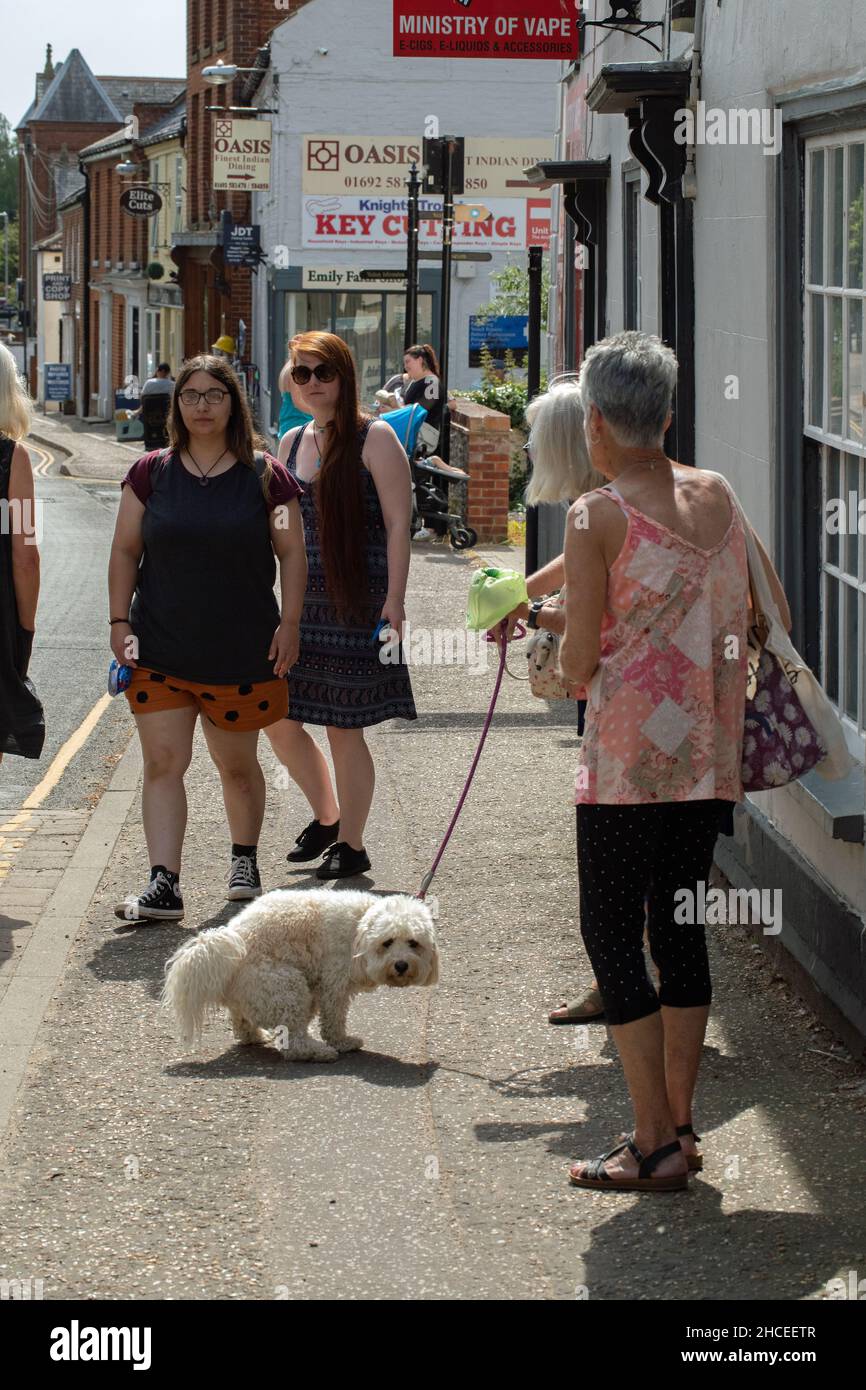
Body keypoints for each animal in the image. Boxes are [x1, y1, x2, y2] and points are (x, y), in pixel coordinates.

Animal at [161, 889, 439, 1061]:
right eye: (387, 942)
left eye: (414, 943)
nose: (401, 965)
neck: (359, 928)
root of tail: (232, 946)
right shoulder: (334, 983)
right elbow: (334, 1019)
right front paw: (342, 1042)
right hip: (286, 987)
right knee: (293, 1042)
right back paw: (318, 1052)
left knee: (243, 1023)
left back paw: (254, 1037)